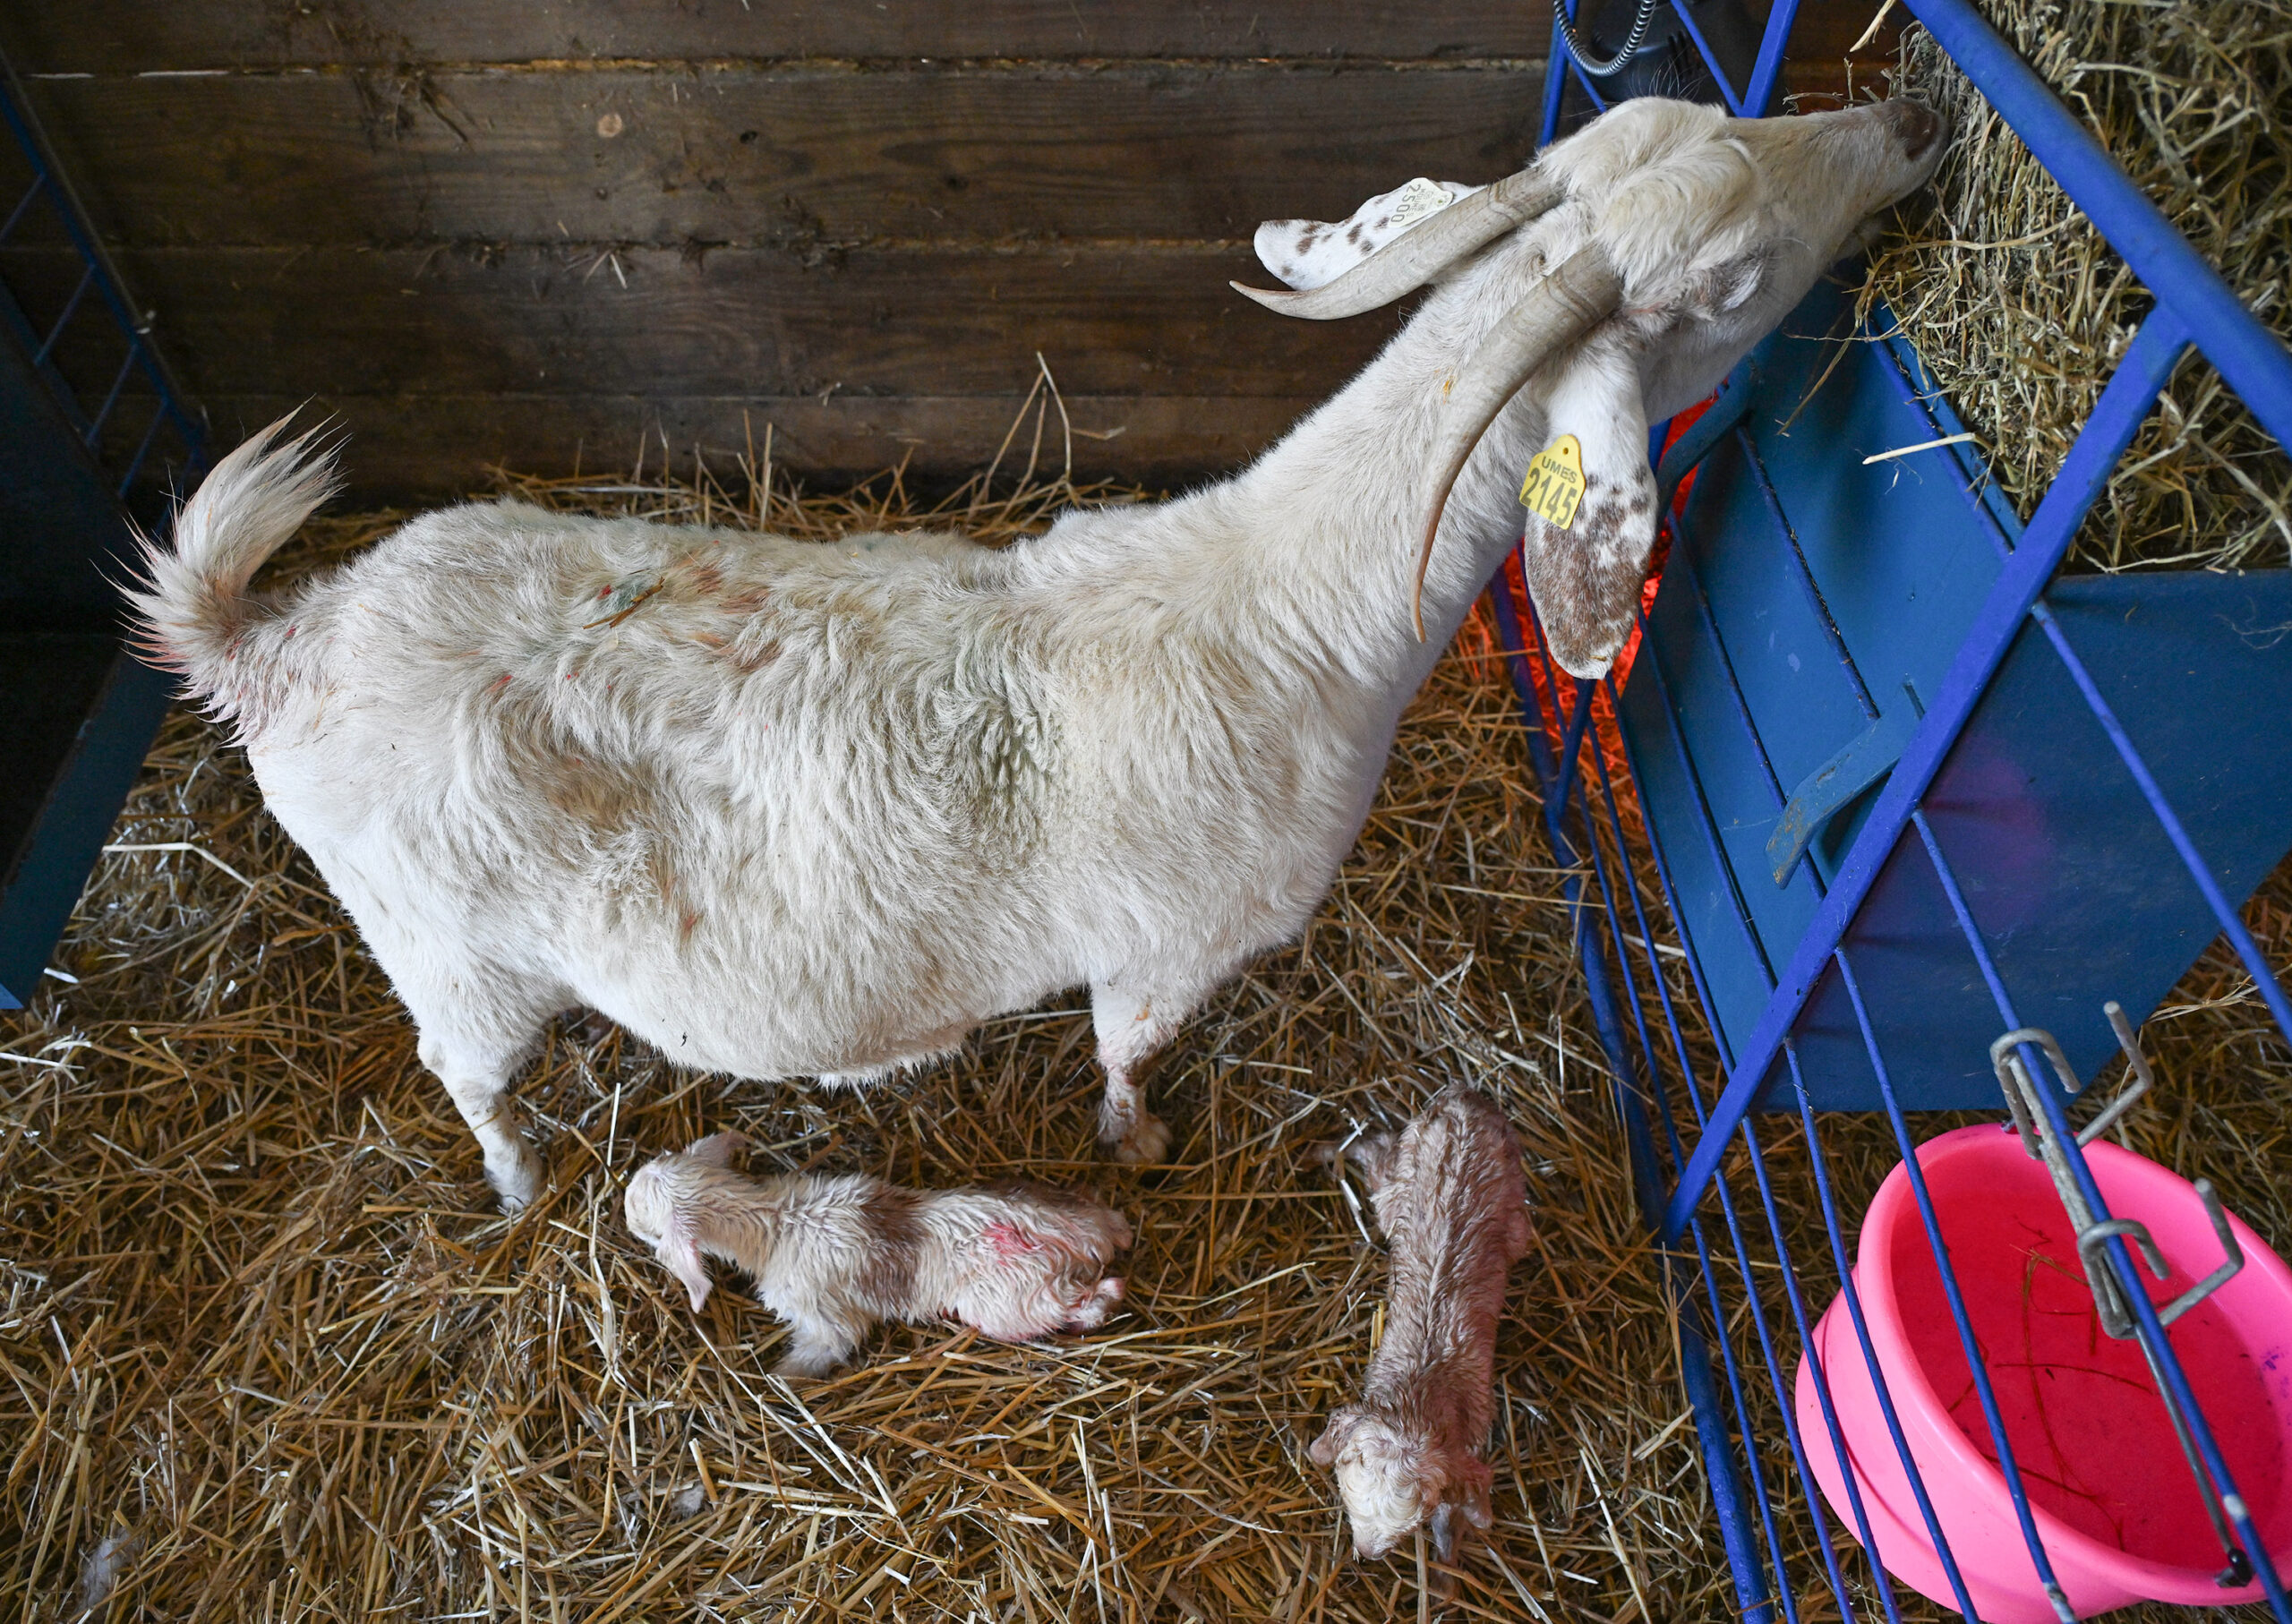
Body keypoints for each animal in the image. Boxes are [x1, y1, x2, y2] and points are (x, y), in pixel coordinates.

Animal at [129, 96, 1946, 1207]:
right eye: (1735, 277)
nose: (1911, 123)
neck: (1295, 611)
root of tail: (277, 642)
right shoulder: (1173, 945)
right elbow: (1129, 1054)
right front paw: (1139, 1144)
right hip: (448, 948)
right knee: (467, 1070)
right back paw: (511, 1179)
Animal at [622, 1132, 1131, 1376]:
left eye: (644, 1221)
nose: (624, 1216)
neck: (776, 1223)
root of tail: (1074, 1237)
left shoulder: (825, 1317)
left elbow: (815, 1354)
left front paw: (779, 1380)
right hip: (1050, 1201)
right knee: (1109, 1222)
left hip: (1004, 1305)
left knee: (1093, 1299)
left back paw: (1105, 1297)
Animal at [1310, 1085, 1529, 1564]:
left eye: (1414, 1518)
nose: (1367, 1552)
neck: (1420, 1393)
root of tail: (1464, 1102)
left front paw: (1449, 1549)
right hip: (1399, 1183)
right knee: (1373, 1149)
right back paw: (1326, 1150)